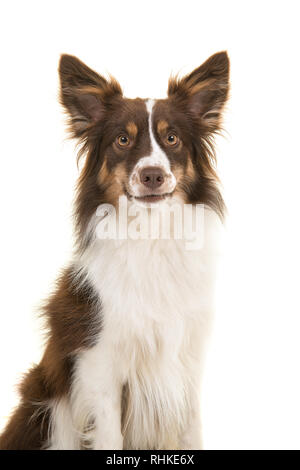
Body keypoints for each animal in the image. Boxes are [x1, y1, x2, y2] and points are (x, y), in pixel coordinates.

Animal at [0, 49, 230, 450]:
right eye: (123, 140)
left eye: (172, 138)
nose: (152, 175)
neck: (151, 236)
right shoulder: (99, 368)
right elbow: (109, 435)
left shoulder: (186, 362)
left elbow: (191, 431)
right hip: (46, 403)